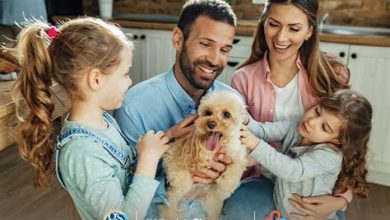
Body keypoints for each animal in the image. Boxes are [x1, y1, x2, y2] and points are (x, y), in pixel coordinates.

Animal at [161, 90, 247, 220]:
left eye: (227, 114)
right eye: (208, 113)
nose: (211, 124)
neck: (216, 148)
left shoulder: (237, 153)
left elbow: (235, 169)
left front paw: (225, 186)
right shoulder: (175, 151)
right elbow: (179, 170)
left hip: (211, 208)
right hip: (172, 201)